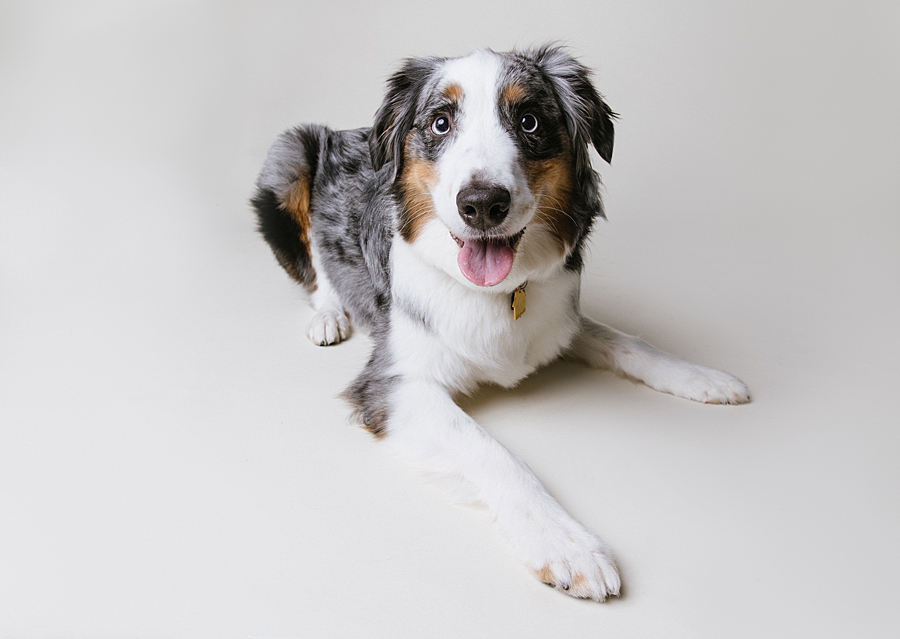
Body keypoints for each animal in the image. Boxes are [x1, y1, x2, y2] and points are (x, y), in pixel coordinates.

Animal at [250, 45, 748, 600]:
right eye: (441, 123)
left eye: (529, 121)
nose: (483, 204)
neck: (496, 294)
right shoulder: (395, 382)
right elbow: (491, 452)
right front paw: (567, 545)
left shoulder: (559, 319)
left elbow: (627, 342)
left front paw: (702, 377)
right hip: (289, 155)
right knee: (313, 264)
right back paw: (329, 315)